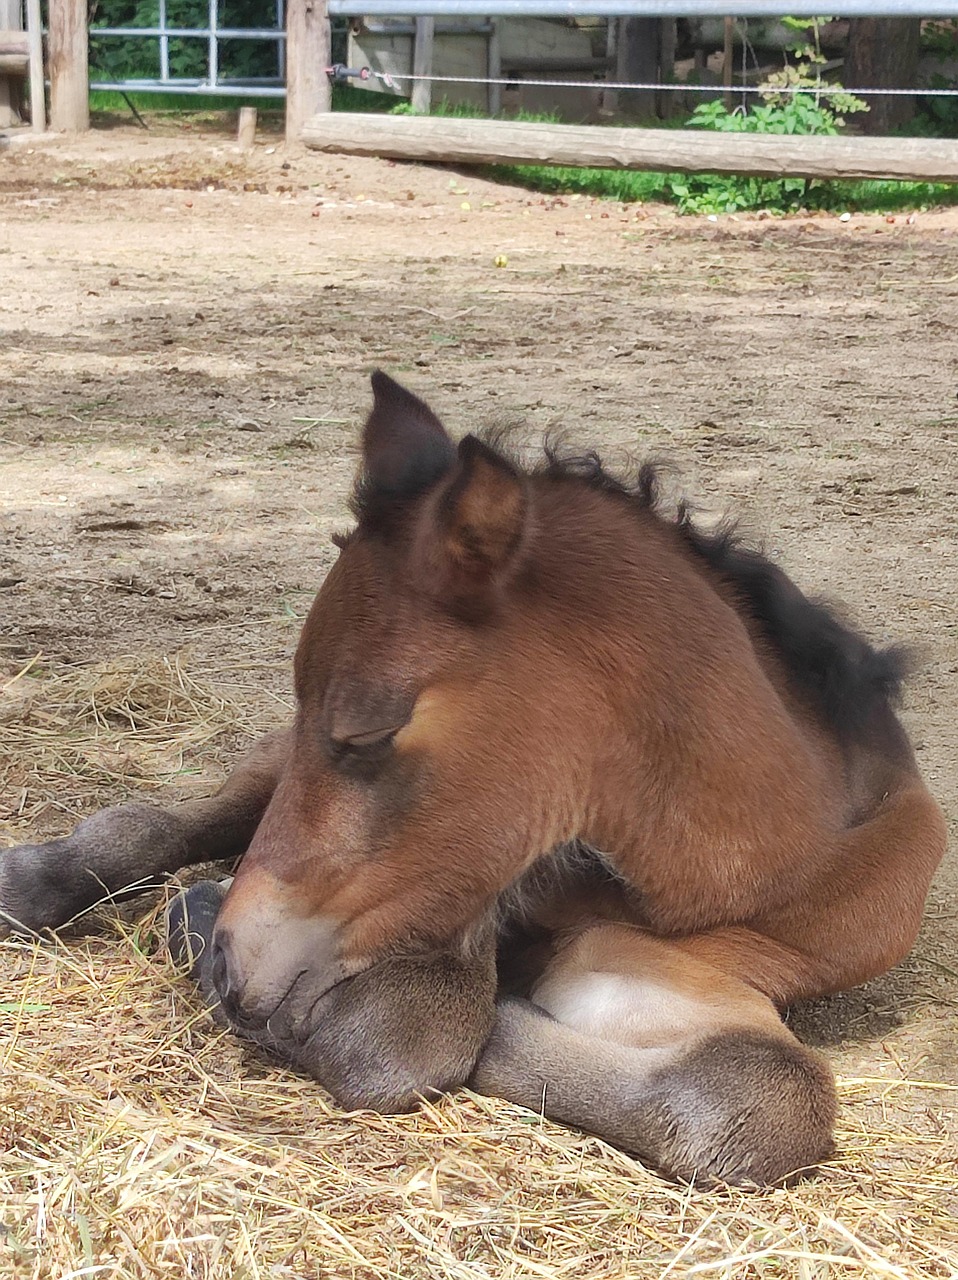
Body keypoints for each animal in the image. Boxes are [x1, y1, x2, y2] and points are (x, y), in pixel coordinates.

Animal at [1, 371, 946, 1187]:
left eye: (370, 731)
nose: (235, 962)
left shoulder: (669, 965)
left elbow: (758, 1093)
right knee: (170, 820)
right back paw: (45, 881)